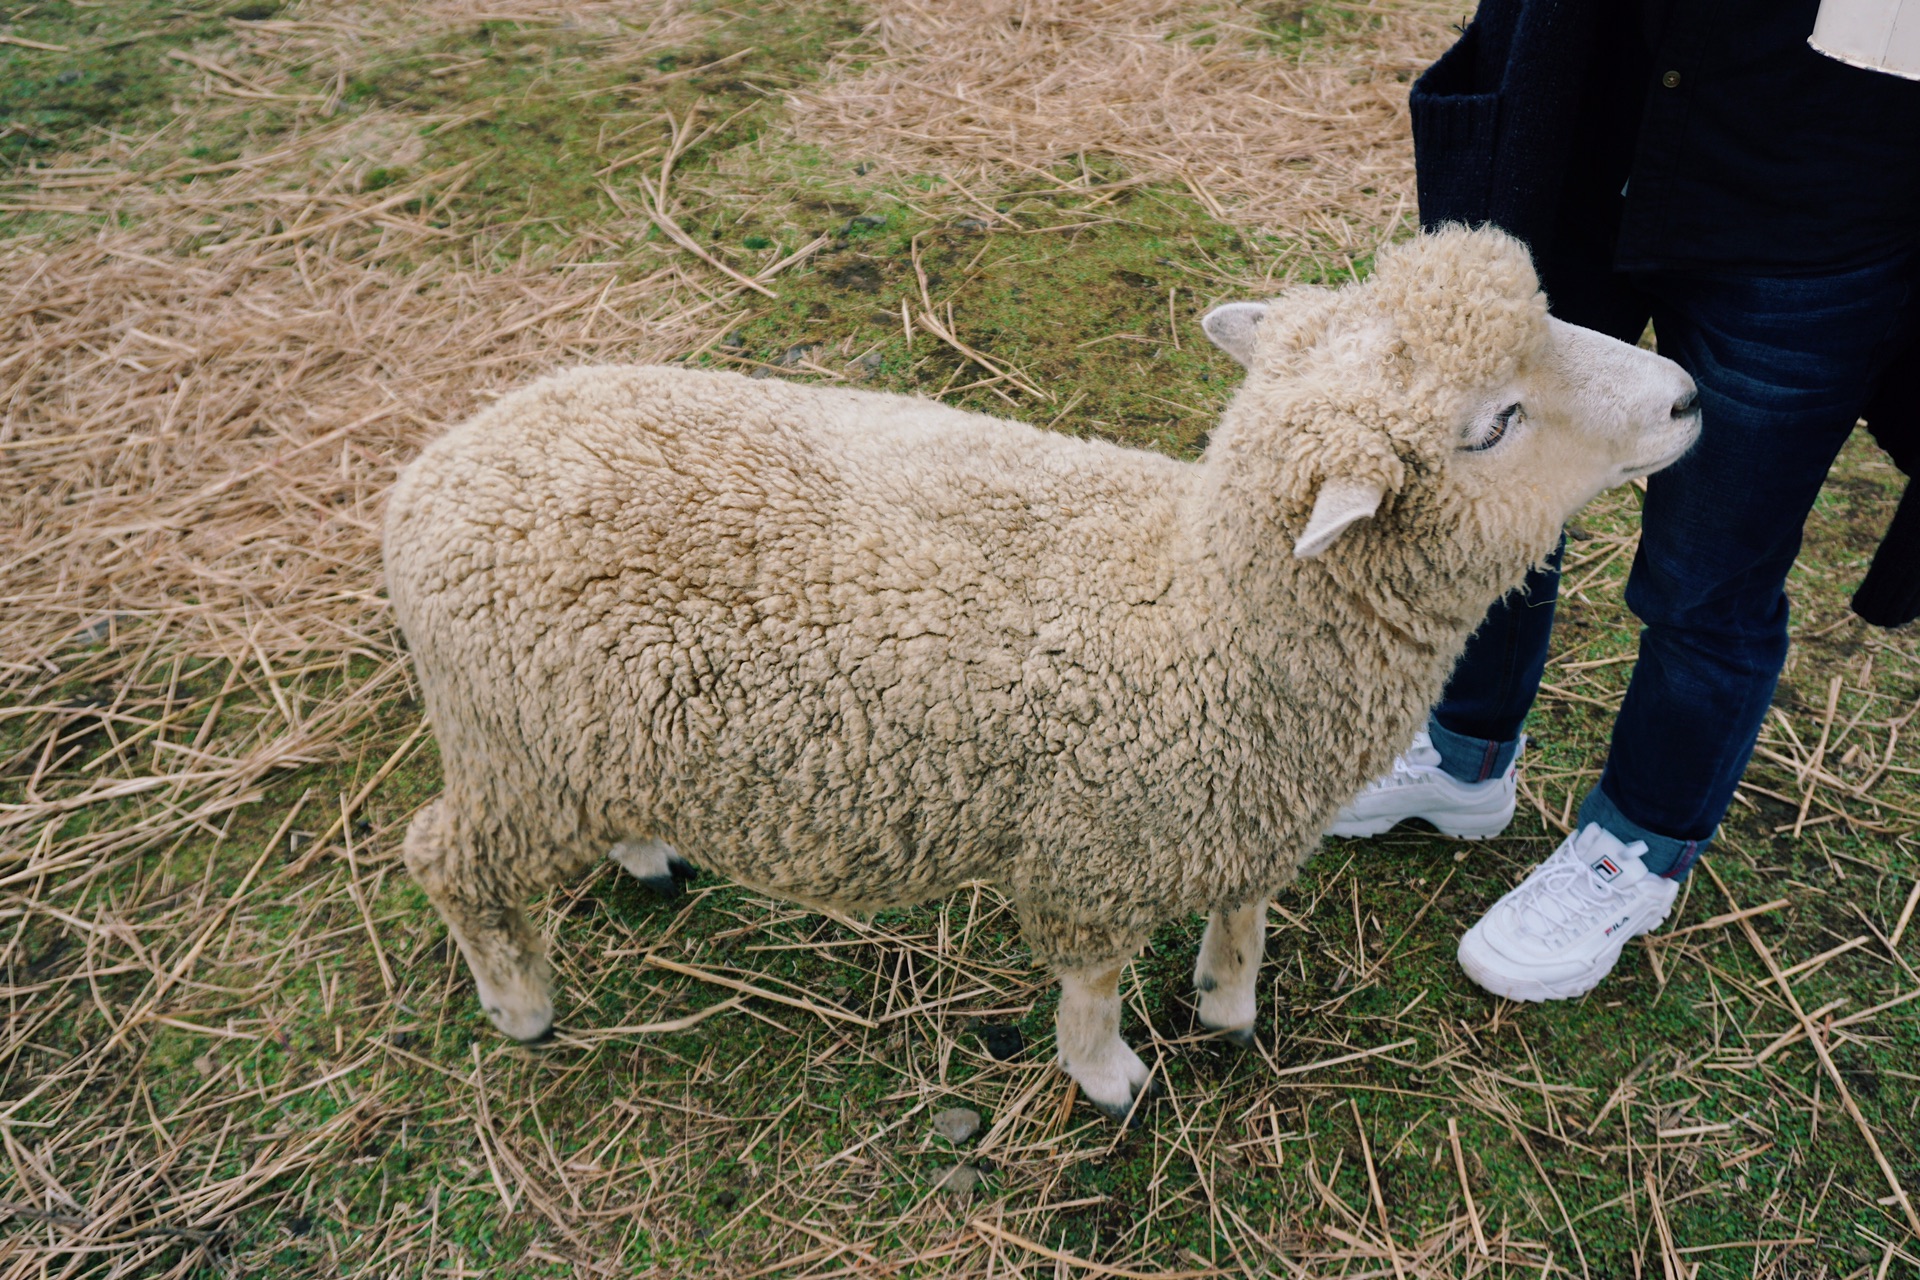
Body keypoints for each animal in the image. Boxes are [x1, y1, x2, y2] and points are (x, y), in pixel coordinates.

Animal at [378, 227, 1697, 1120]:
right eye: (1496, 423)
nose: (1688, 394)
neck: (1206, 615)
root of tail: (429, 475)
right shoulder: (1093, 849)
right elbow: (1095, 980)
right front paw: (1111, 1076)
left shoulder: (1245, 803)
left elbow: (1243, 909)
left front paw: (1229, 1005)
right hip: (514, 744)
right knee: (444, 857)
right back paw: (522, 1006)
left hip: (577, 743)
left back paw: (648, 850)